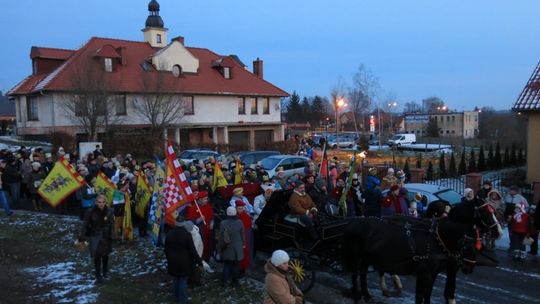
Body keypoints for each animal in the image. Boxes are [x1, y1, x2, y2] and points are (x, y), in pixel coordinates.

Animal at [344, 198, 504, 302]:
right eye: (485, 213)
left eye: (493, 211)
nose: (499, 232)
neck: (439, 237)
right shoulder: (432, 271)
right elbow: (433, 293)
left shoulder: (444, 270)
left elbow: (441, 291)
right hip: (360, 255)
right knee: (358, 272)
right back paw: (362, 293)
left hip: (369, 256)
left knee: (366, 271)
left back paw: (371, 293)